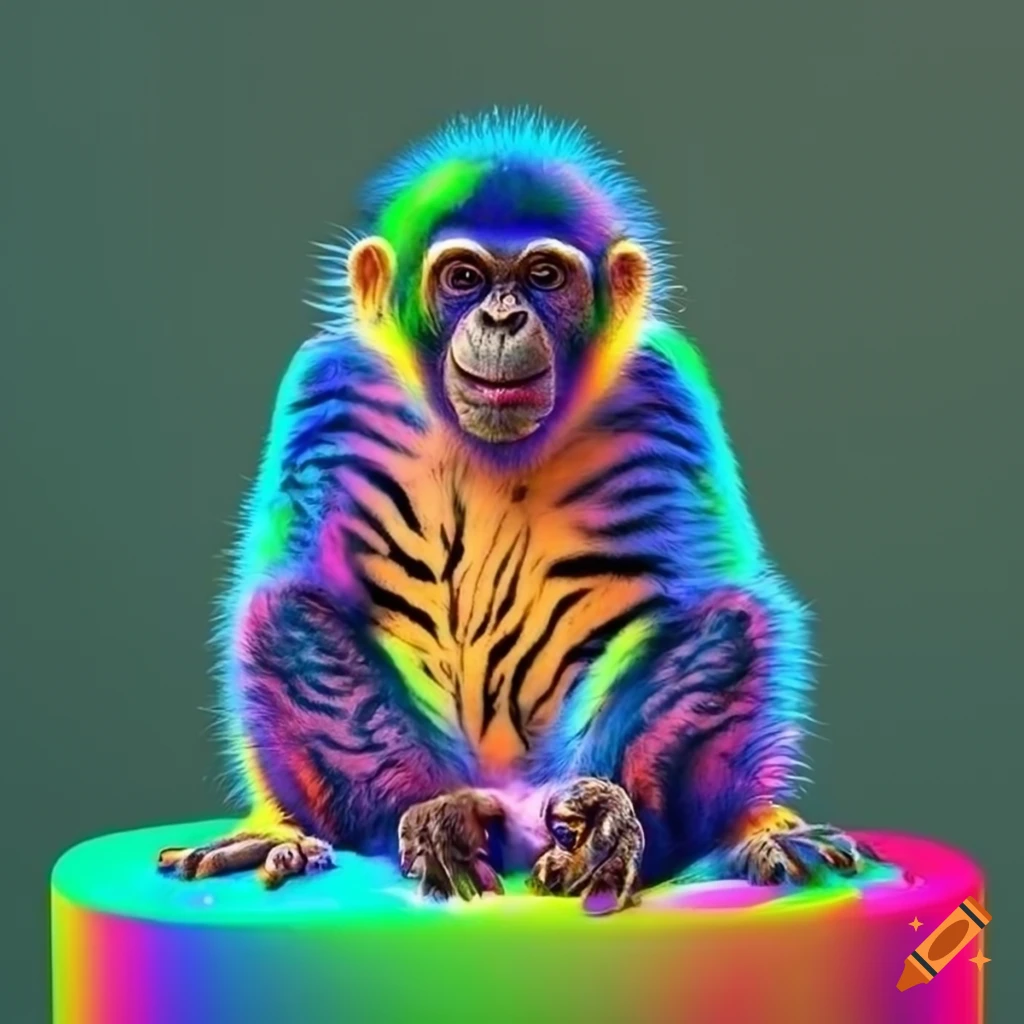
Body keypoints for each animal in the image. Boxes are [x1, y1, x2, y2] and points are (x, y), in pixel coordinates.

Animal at [156, 108, 875, 914]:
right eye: (464, 277)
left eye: (544, 275)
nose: (503, 317)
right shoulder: (332, 388)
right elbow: (305, 588)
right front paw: (432, 812)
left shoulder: (666, 393)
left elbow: (695, 596)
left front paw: (638, 817)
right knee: (283, 614)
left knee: (730, 620)